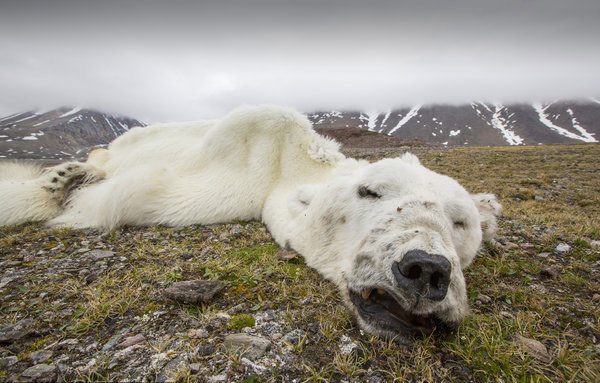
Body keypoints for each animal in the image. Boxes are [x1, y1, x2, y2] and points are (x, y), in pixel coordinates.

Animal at [0, 105, 500, 340]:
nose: (426, 269)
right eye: (370, 191)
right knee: (104, 156)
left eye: (460, 222)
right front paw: (60, 188)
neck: (289, 164)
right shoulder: (240, 159)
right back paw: (69, 173)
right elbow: (136, 192)